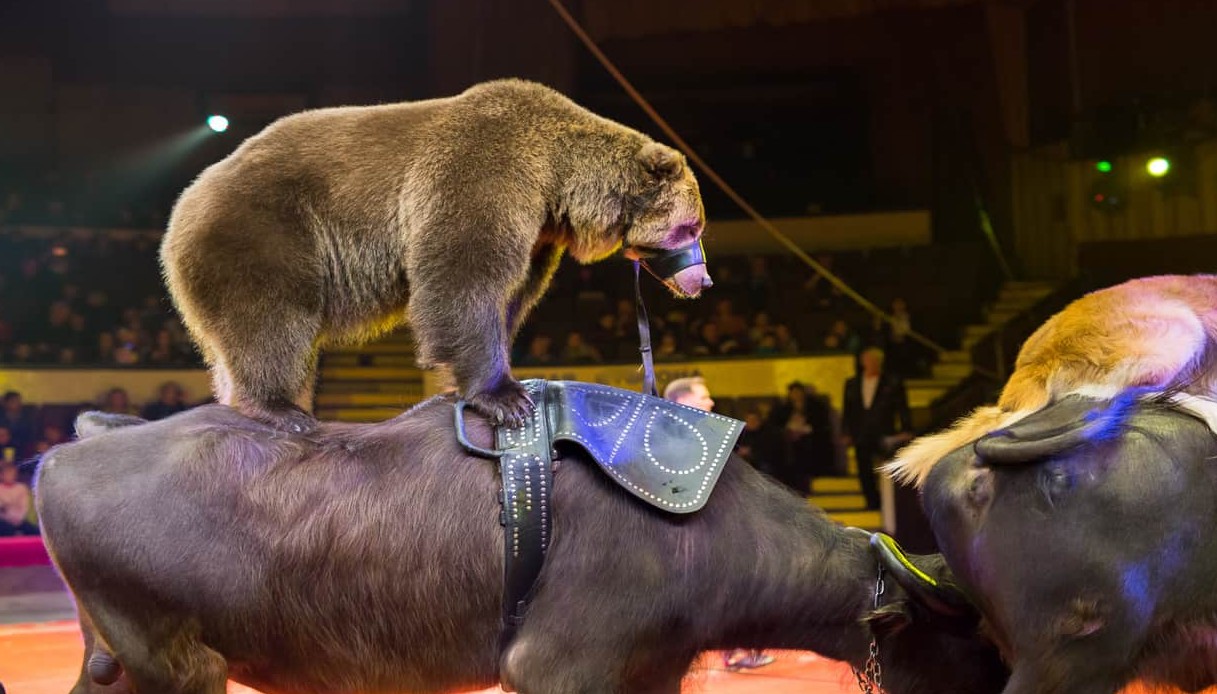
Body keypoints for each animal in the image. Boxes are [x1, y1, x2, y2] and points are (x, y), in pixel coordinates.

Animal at [161, 78, 710, 428]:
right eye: (691, 226)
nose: (702, 281)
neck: (557, 184)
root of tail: (182, 206)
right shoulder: (484, 176)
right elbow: (464, 278)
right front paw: (505, 397)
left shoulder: (536, 234)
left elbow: (510, 296)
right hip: (265, 233)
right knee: (270, 321)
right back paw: (281, 409)